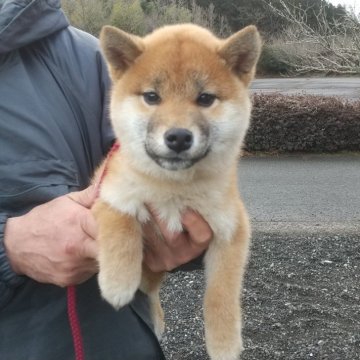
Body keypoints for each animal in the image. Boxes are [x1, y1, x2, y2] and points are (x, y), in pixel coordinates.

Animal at [92, 23, 262, 360]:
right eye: (152, 97)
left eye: (205, 98)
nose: (179, 137)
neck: (173, 189)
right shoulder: (104, 193)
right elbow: (121, 222)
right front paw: (117, 281)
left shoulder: (232, 230)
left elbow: (220, 295)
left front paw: (223, 343)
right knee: (148, 291)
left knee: (152, 291)